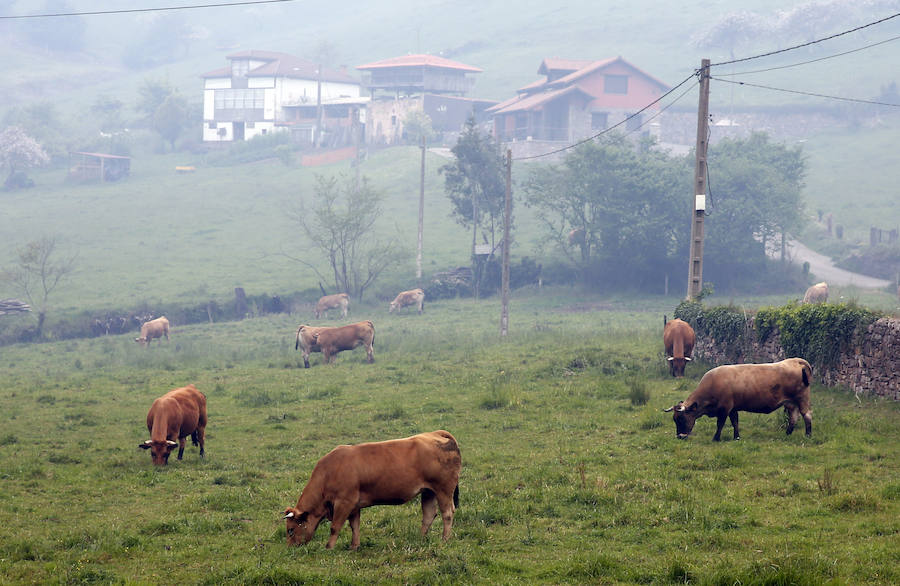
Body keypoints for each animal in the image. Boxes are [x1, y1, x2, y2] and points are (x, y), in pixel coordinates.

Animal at [284, 428, 464, 548]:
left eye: (291, 530)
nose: (290, 548)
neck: (329, 472)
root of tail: (435, 434)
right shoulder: (354, 505)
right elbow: (354, 526)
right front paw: (354, 546)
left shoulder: (344, 502)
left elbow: (335, 527)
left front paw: (329, 547)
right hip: (428, 491)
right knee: (428, 515)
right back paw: (420, 538)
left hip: (443, 490)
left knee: (447, 514)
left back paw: (445, 539)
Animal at [660, 354, 816, 440]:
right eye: (675, 419)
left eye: (681, 418)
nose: (680, 437)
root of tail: (796, 361)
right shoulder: (733, 408)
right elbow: (735, 422)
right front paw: (737, 437)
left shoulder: (724, 408)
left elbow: (720, 424)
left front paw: (716, 438)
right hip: (790, 402)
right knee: (794, 417)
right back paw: (787, 433)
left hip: (802, 399)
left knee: (807, 415)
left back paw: (808, 435)